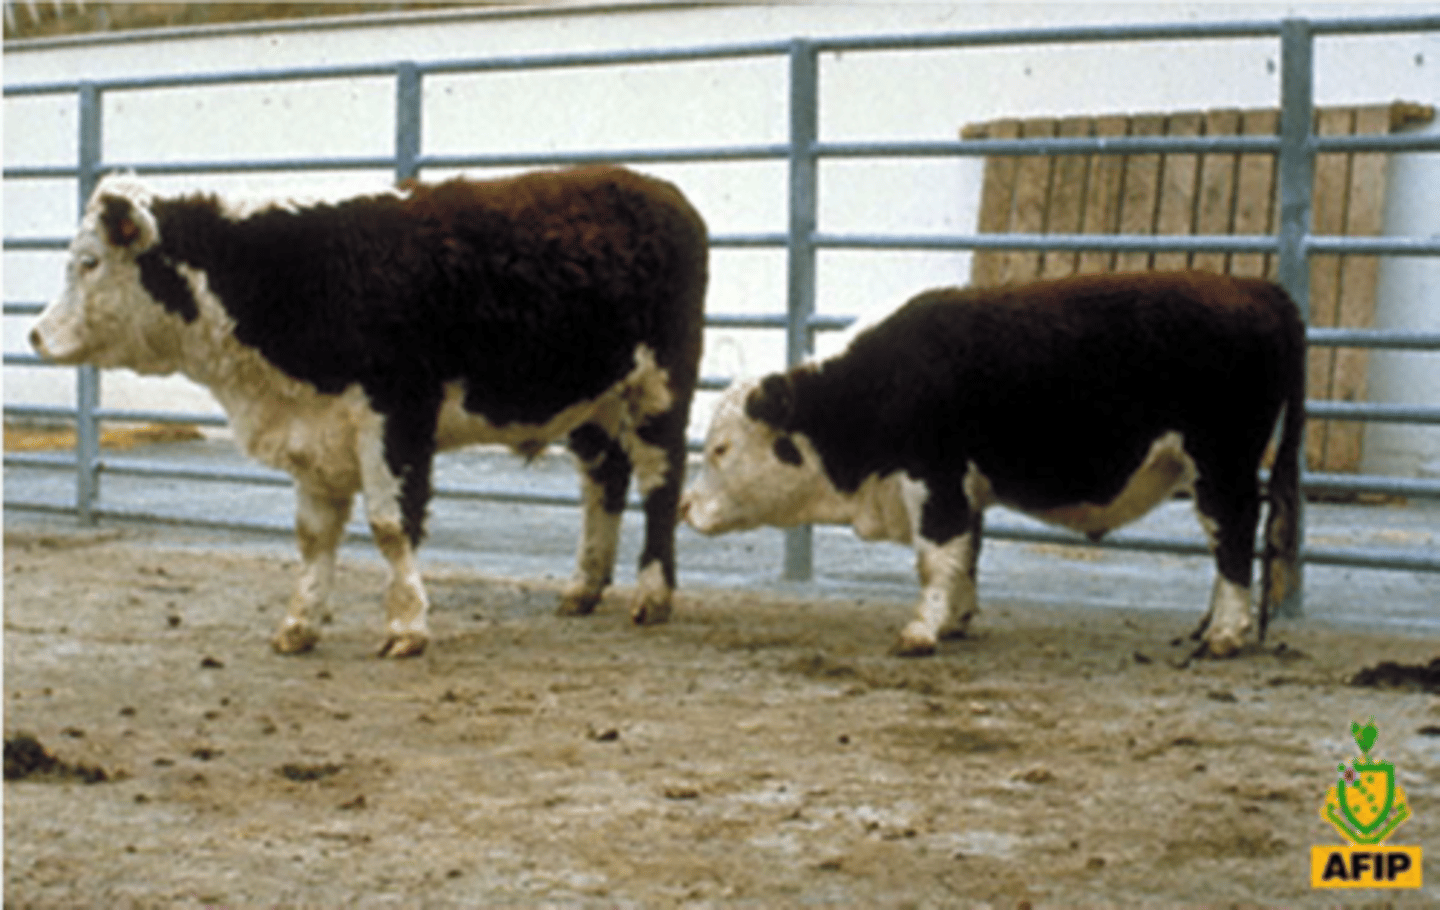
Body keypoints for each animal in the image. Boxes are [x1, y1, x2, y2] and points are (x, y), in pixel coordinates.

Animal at [31, 165, 707, 657]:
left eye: (88, 262)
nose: (36, 335)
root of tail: (657, 189)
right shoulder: (313, 430)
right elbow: (313, 536)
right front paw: (299, 625)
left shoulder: (396, 416)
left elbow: (389, 525)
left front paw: (406, 627)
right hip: (592, 403)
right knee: (605, 480)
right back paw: (584, 587)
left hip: (659, 388)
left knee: (661, 483)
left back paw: (652, 595)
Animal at [681, 271, 1305, 658]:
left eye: (720, 448)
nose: (686, 505)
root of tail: (1253, 285)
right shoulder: (963, 490)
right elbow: (967, 553)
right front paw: (956, 619)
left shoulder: (935, 480)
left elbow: (936, 557)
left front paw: (922, 631)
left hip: (1222, 466)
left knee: (1233, 538)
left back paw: (1225, 634)